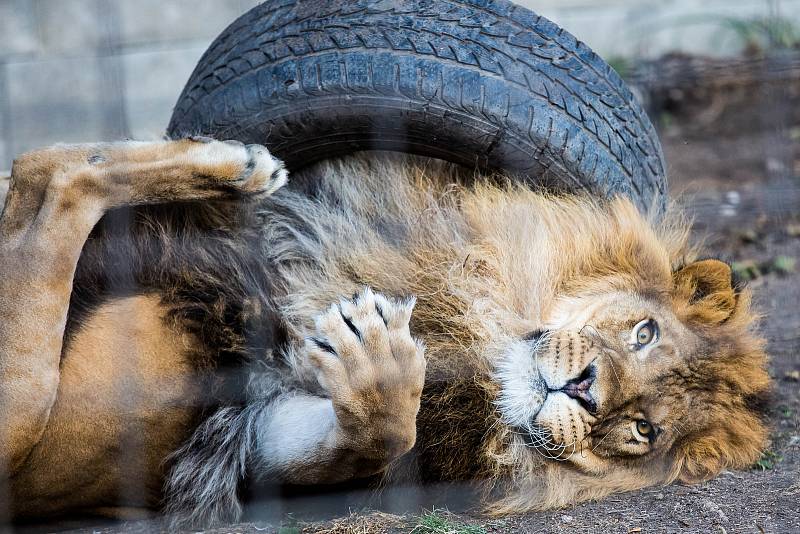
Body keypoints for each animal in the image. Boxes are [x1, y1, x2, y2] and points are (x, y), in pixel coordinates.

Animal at [0, 138, 768, 528]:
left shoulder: (250, 429)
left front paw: (380, 365)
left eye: (643, 431)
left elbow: (376, 434)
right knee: (46, 172)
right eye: (644, 332)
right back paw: (233, 164)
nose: (583, 391)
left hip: (23, 407)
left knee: (53, 182)